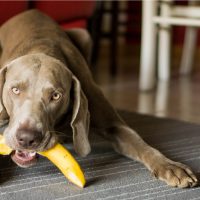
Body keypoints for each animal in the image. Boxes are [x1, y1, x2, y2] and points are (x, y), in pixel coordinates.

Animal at [0, 9, 198, 188]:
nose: (27, 138)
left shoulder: (113, 123)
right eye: (15, 90)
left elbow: (141, 144)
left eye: (55, 96)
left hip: (84, 35)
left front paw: (170, 166)